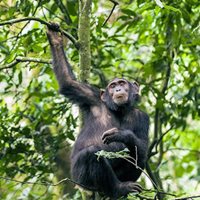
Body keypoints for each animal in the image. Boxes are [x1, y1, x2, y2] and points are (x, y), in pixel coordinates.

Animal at [47, 23, 148, 198]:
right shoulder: (91, 96)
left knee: (138, 155)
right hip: (81, 179)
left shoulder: (143, 117)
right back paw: (118, 189)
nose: (118, 89)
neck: (119, 110)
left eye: (122, 83)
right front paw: (55, 38)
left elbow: (142, 144)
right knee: (91, 153)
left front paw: (121, 134)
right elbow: (68, 83)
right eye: (112, 86)